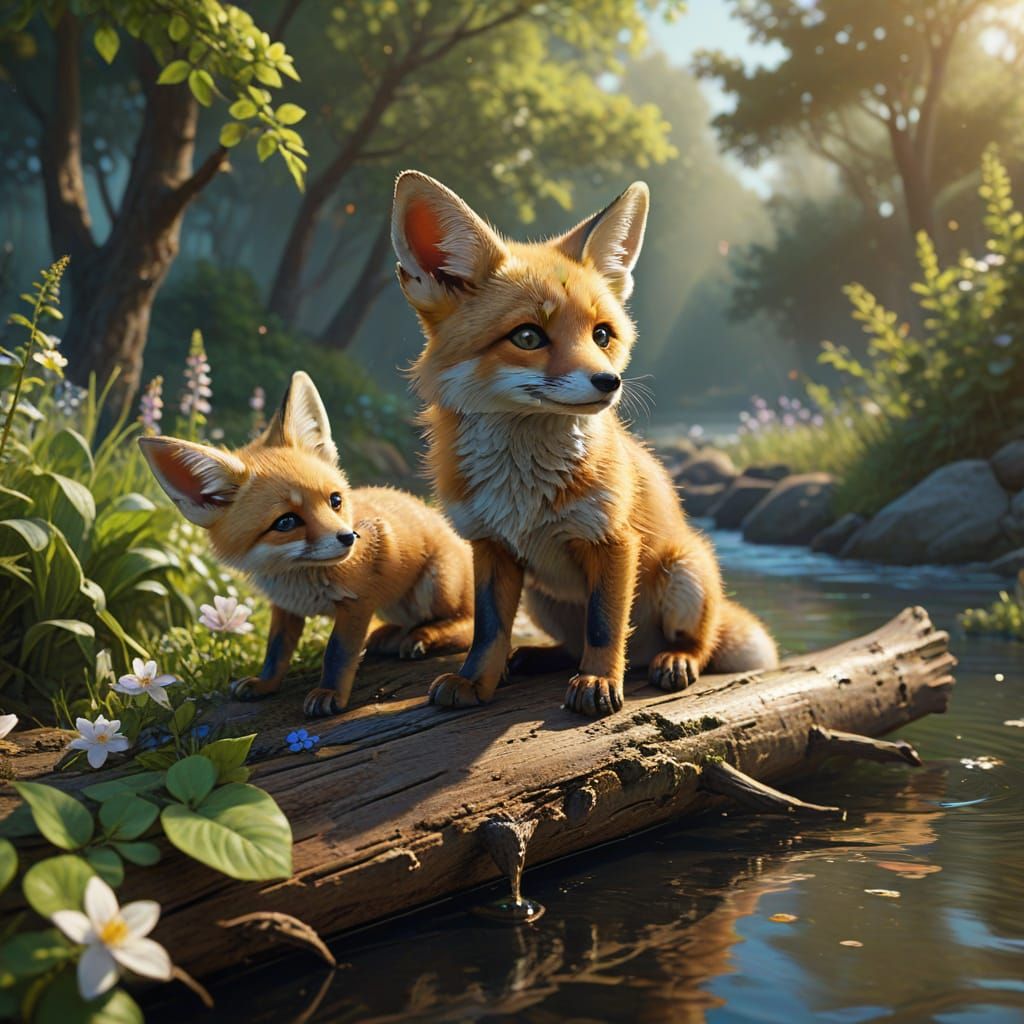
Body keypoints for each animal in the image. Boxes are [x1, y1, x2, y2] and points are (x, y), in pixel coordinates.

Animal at [138, 371, 474, 717]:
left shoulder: (357, 603)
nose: (349, 537)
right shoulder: (285, 608)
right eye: (286, 522)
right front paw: (265, 685)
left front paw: (330, 693)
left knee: (467, 623)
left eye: (335, 500)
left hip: (435, 585)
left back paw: (424, 637)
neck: (299, 581)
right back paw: (391, 636)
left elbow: (337, 654)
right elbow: (275, 652)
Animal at [390, 171, 779, 718]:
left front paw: (598, 683)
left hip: (685, 570)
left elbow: (605, 626)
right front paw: (474, 681)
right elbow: (489, 631)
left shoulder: (613, 540)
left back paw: (673, 660)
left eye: (602, 335)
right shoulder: (490, 546)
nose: (609, 382)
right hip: (543, 598)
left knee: (694, 643)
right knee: (567, 644)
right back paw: (537, 658)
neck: (523, 490)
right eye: (528, 337)